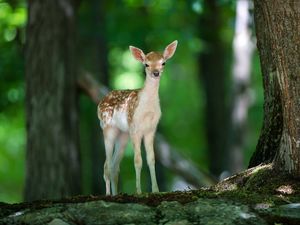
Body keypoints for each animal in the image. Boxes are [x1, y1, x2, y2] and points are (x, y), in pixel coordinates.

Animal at [97, 40, 177, 195]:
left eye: (163, 62)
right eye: (146, 64)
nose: (156, 73)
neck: (147, 111)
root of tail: (100, 102)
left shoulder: (151, 129)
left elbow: (151, 159)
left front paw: (156, 190)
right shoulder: (135, 128)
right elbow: (138, 160)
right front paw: (138, 191)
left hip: (123, 134)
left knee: (115, 166)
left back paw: (115, 194)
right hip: (108, 128)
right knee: (107, 165)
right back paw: (108, 194)